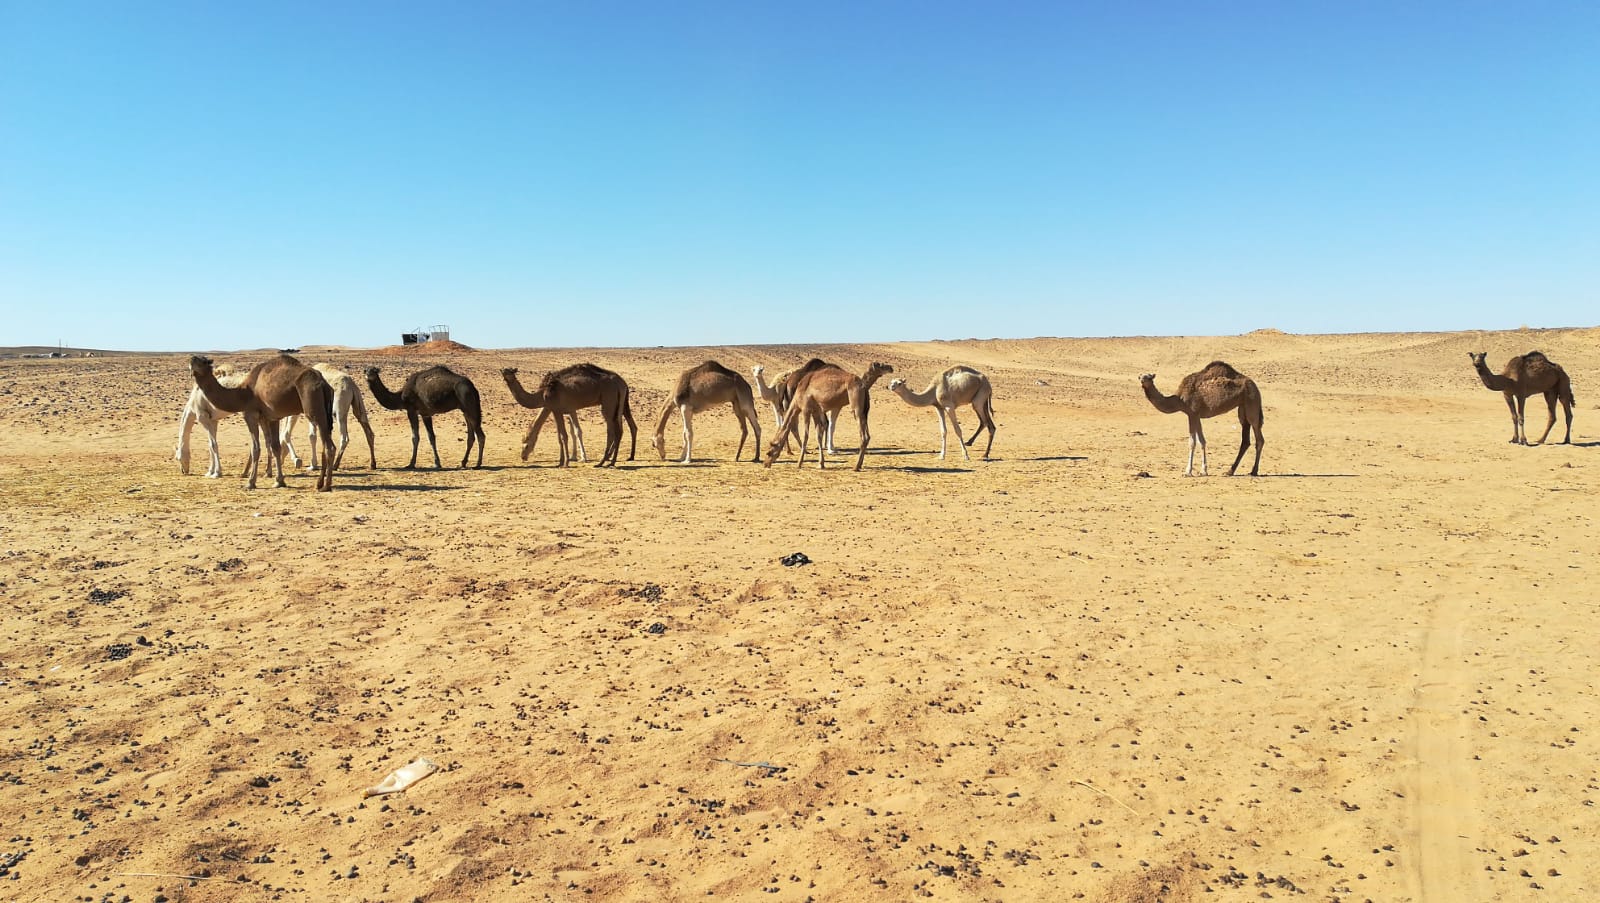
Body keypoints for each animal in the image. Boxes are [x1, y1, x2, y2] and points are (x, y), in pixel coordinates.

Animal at [188, 353, 336, 493]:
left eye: (203, 361)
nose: (192, 359)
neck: (242, 393)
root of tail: (323, 384)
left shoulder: (250, 414)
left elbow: (255, 448)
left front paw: (250, 483)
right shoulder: (271, 418)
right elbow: (275, 447)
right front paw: (279, 481)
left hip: (314, 407)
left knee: (330, 447)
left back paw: (326, 486)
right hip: (325, 412)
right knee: (325, 445)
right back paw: (319, 483)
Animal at [502, 363, 633, 470]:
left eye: (526, 445)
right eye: (504, 371)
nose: (523, 457)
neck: (543, 393)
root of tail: (622, 383)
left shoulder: (558, 409)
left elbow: (564, 436)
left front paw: (566, 463)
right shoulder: (556, 410)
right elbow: (560, 437)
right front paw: (560, 462)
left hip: (608, 401)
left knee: (611, 430)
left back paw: (602, 462)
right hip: (618, 404)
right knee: (619, 430)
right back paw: (611, 462)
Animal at [764, 361, 896, 473]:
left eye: (769, 451)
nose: (766, 464)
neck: (799, 393)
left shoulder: (806, 409)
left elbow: (807, 435)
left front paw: (799, 463)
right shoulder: (817, 411)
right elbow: (818, 435)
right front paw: (821, 463)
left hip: (856, 407)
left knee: (863, 435)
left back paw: (856, 467)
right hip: (865, 410)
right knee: (866, 435)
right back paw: (858, 465)